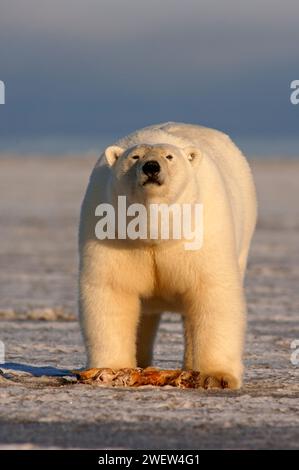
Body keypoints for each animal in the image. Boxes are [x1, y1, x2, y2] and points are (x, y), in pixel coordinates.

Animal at [79, 122, 258, 390]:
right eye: (135, 156)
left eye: (169, 156)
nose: (151, 167)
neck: (154, 230)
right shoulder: (112, 229)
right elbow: (112, 290)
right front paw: (111, 369)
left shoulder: (200, 230)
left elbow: (212, 292)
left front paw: (215, 376)